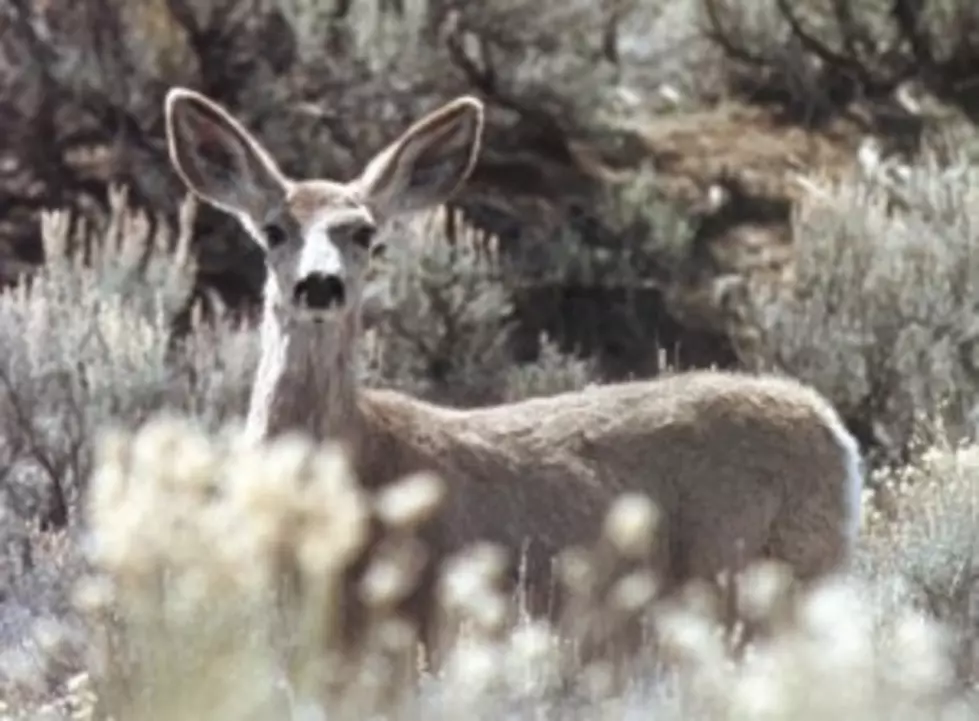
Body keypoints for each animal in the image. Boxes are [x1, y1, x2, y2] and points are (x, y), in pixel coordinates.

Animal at [167, 87, 864, 648]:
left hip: (774, 581)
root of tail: (835, 432)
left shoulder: (406, 629)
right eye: (274, 230)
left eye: (364, 233)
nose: (320, 285)